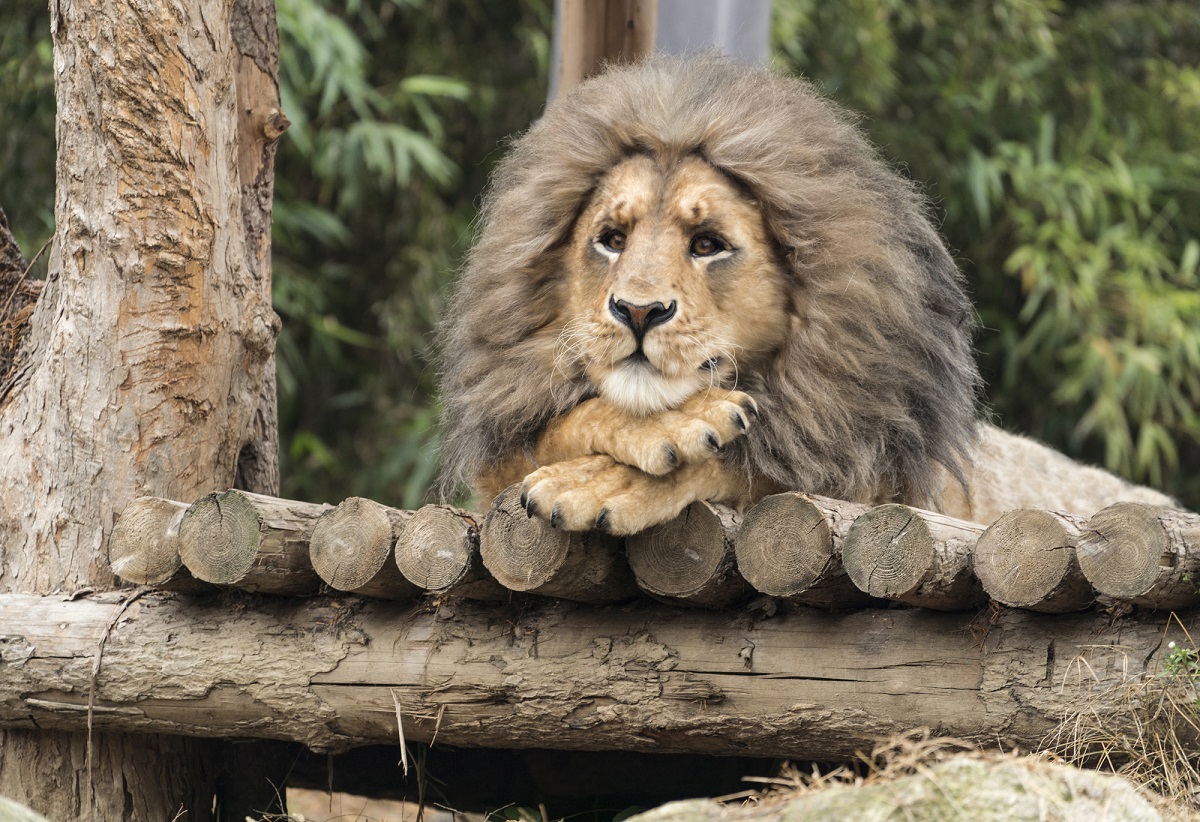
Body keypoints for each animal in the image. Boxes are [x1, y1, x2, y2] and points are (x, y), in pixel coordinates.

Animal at [436, 54, 1176, 535]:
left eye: (708, 243)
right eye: (611, 239)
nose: (637, 311)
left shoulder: (876, 474)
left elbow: (753, 466)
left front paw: (605, 478)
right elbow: (559, 425)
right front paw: (655, 435)